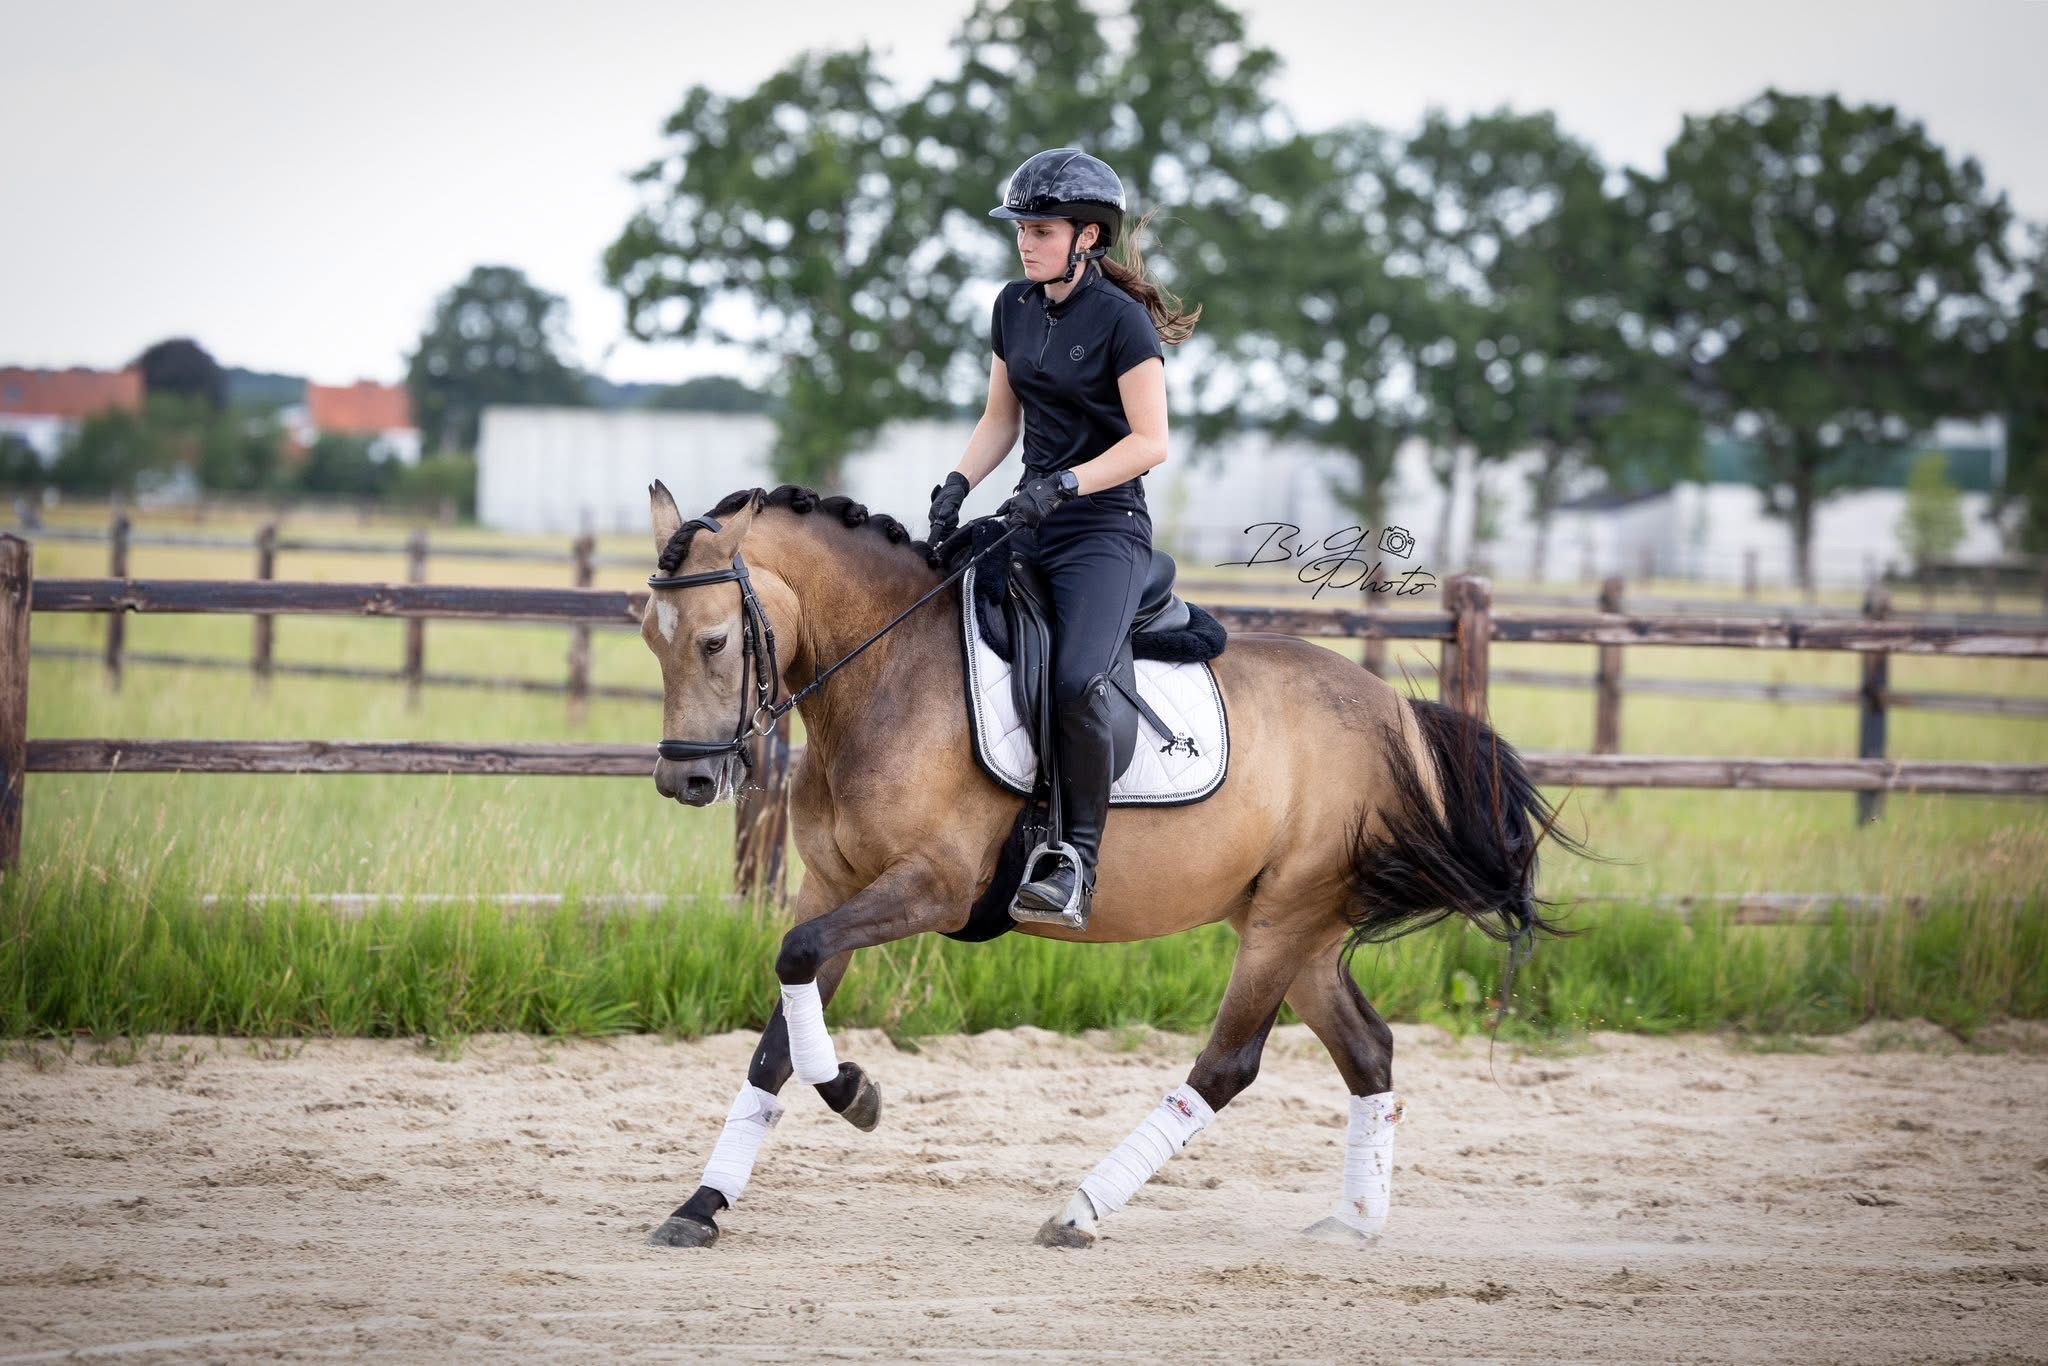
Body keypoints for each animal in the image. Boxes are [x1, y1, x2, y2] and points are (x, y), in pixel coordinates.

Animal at [637, 480, 1571, 1250]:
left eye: (715, 642)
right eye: (651, 638)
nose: (686, 781)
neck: (886, 677)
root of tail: (1399, 717)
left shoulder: (933, 888)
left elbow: (796, 963)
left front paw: (854, 1094)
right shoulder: (833, 887)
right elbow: (777, 1035)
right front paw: (702, 1205)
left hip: (1289, 918)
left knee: (1228, 1065)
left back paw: (1081, 1210)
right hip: (1295, 927)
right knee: (1368, 1049)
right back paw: (1354, 1222)